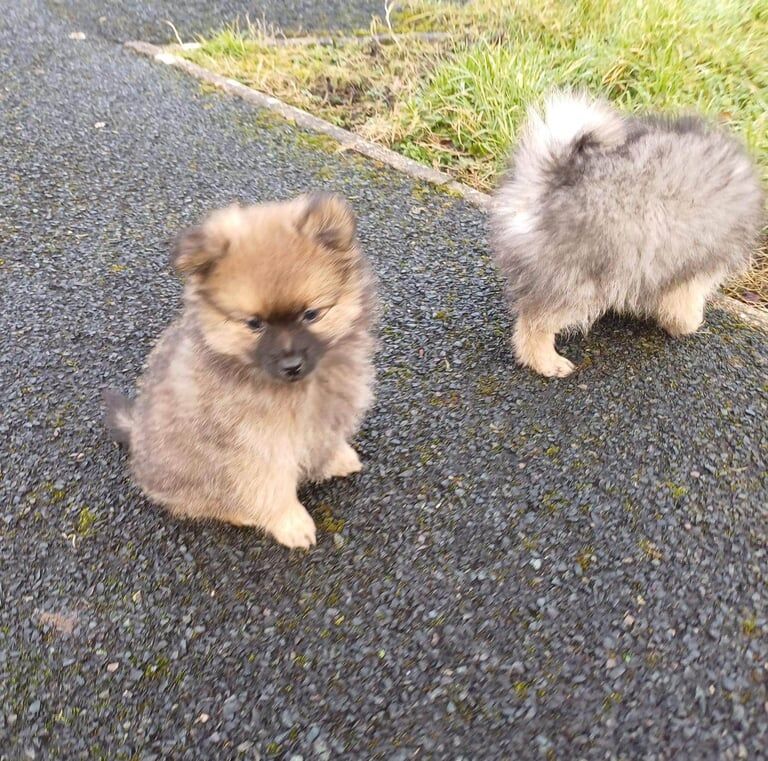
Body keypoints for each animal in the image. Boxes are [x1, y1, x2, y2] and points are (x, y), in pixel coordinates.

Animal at [102, 190, 378, 548]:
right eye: (254, 324)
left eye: (311, 315)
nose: (292, 365)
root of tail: (134, 433)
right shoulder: (254, 449)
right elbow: (270, 488)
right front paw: (291, 523)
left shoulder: (326, 415)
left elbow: (323, 441)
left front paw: (335, 459)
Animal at [488, 92, 764, 378]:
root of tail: (545, 179)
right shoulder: (692, 271)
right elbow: (683, 305)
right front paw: (689, 324)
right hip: (578, 281)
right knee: (535, 325)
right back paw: (547, 362)